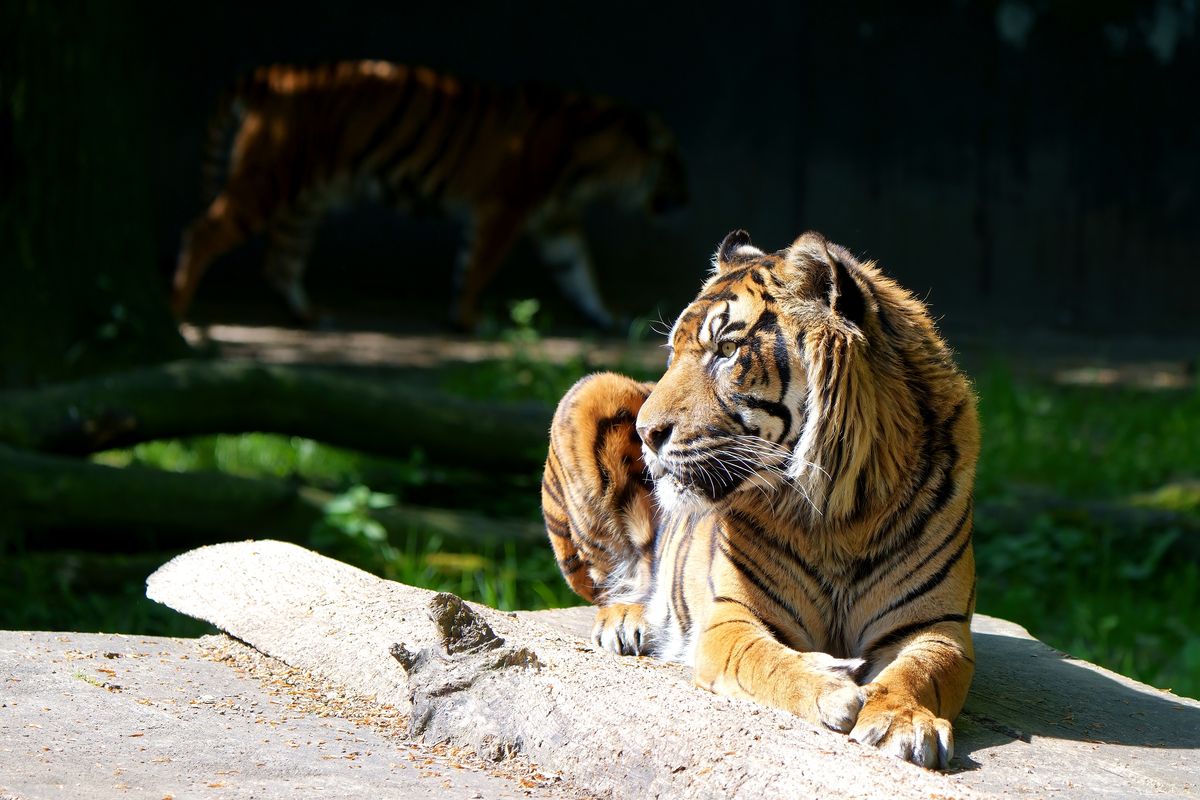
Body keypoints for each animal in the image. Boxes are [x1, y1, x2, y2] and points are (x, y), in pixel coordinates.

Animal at [172, 58, 691, 328]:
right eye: (675, 165)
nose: (686, 200)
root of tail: (277, 75)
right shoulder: (506, 206)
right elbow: (477, 265)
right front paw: (469, 320)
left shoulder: (556, 221)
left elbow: (579, 273)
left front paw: (613, 317)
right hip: (270, 180)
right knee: (202, 232)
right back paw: (179, 313)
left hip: (306, 201)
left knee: (280, 261)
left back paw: (312, 314)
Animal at [540, 230, 979, 767]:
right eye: (672, 354)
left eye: (727, 350)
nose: (646, 433)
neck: (840, 514)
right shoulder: (732, 619)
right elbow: (768, 662)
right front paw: (831, 688)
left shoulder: (939, 627)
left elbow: (922, 672)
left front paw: (903, 721)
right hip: (589, 391)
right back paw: (627, 620)